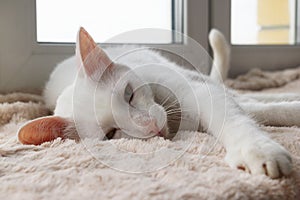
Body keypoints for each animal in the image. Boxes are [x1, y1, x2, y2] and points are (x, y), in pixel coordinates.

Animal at [21, 27, 296, 179]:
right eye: (111, 134)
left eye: (129, 95)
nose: (151, 126)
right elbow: (253, 112)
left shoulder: (202, 93)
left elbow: (241, 117)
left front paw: (259, 150)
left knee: (241, 95)